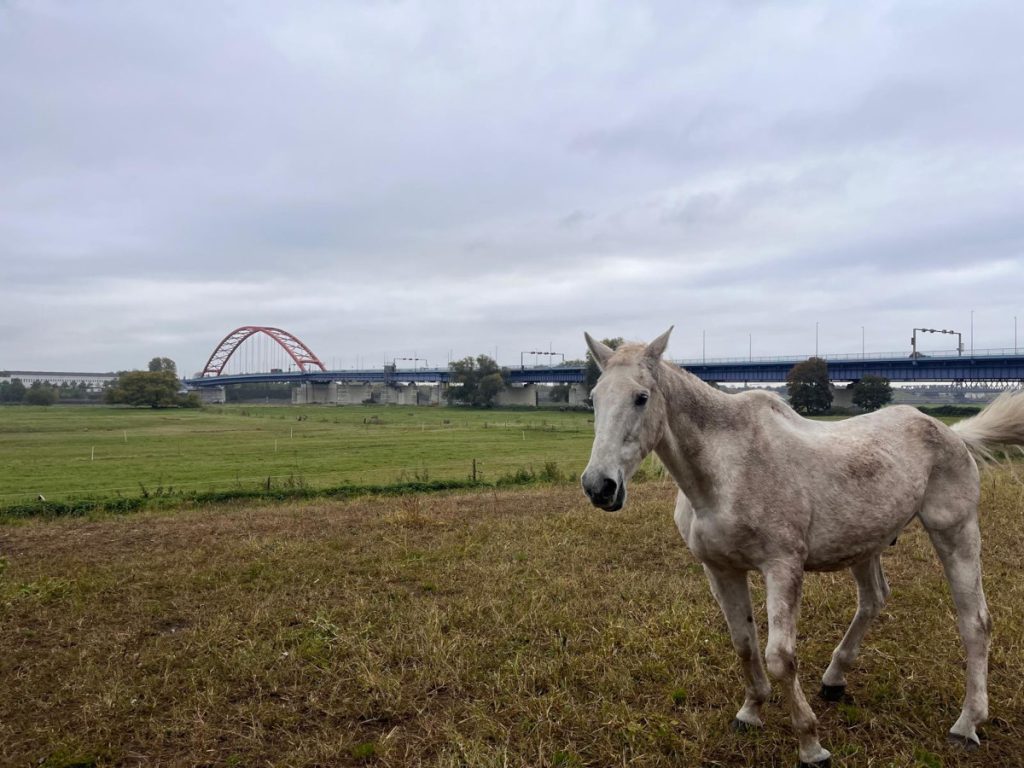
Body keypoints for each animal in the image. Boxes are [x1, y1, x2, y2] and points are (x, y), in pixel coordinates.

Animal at [580, 327, 1024, 766]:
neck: (727, 470)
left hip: (956, 532)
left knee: (975, 622)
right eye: (594, 398)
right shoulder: (721, 569)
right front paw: (750, 712)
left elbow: (780, 657)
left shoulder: (783, 567)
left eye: (641, 397)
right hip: (865, 544)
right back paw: (834, 680)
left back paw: (967, 724)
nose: (599, 486)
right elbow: (744, 645)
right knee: (874, 599)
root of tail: (952, 433)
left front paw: (811, 745)